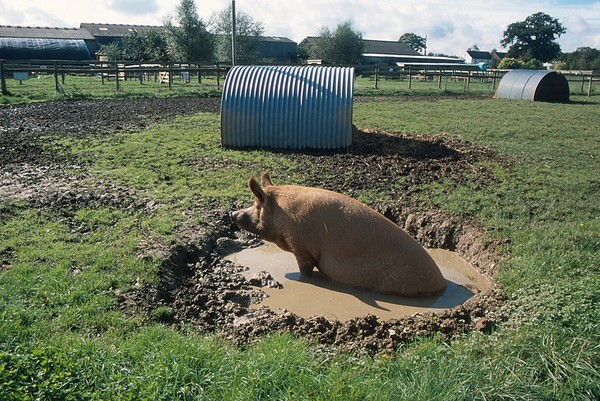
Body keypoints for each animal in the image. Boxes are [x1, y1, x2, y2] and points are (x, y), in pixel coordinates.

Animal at [230, 172, 446, 296]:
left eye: (257, 205)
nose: (233, 214)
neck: (285, 215)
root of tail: (441, 284)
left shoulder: (303, 247)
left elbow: (305, 269)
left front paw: (305, 279)